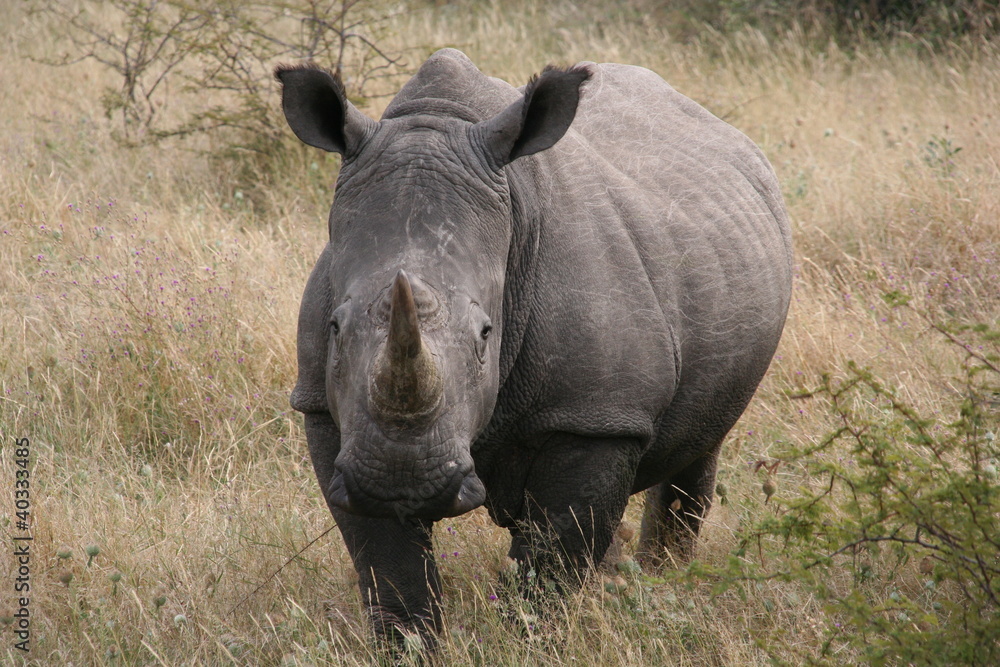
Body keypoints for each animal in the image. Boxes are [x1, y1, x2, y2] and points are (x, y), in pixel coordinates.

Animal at [277, 48, 792, 647]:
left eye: (485, 335)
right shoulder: (325, 410)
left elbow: (551, 565)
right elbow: (388, 565)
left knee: (698, 450)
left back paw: (665, 586)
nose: (401, 480)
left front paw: (534, 641)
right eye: (335, 328)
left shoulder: (592, 415)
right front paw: (410, 647)